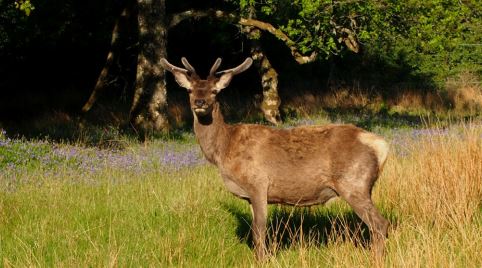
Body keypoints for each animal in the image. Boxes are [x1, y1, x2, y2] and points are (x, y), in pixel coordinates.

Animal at [160, 56, 390, 260]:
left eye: (215, 91)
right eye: (190, 90)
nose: (200, 102)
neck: (223, 151)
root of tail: (382, 146)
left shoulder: (258, 184)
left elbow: (259, 231)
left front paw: (261, 260)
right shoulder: (249, 196)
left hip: (353, 183)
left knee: (380, 224)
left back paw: (376, 259)